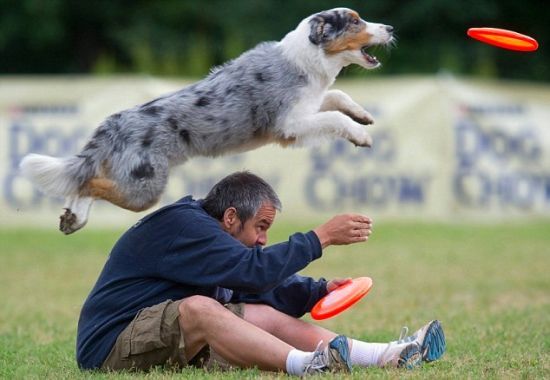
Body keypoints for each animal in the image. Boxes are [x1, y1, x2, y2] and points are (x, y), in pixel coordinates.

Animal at [19, 8, 394, 235]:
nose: (390, 28)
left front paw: (363, 114)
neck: (307, 59)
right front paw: (361, 136)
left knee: (82, 179)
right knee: (88, 182)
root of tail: (114, 122)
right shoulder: (289, 124)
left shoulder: (310, 104)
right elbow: (332, 115)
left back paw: (71, 218)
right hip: (145, 188)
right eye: (355, 22)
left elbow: (337, 96)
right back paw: (75, 217)